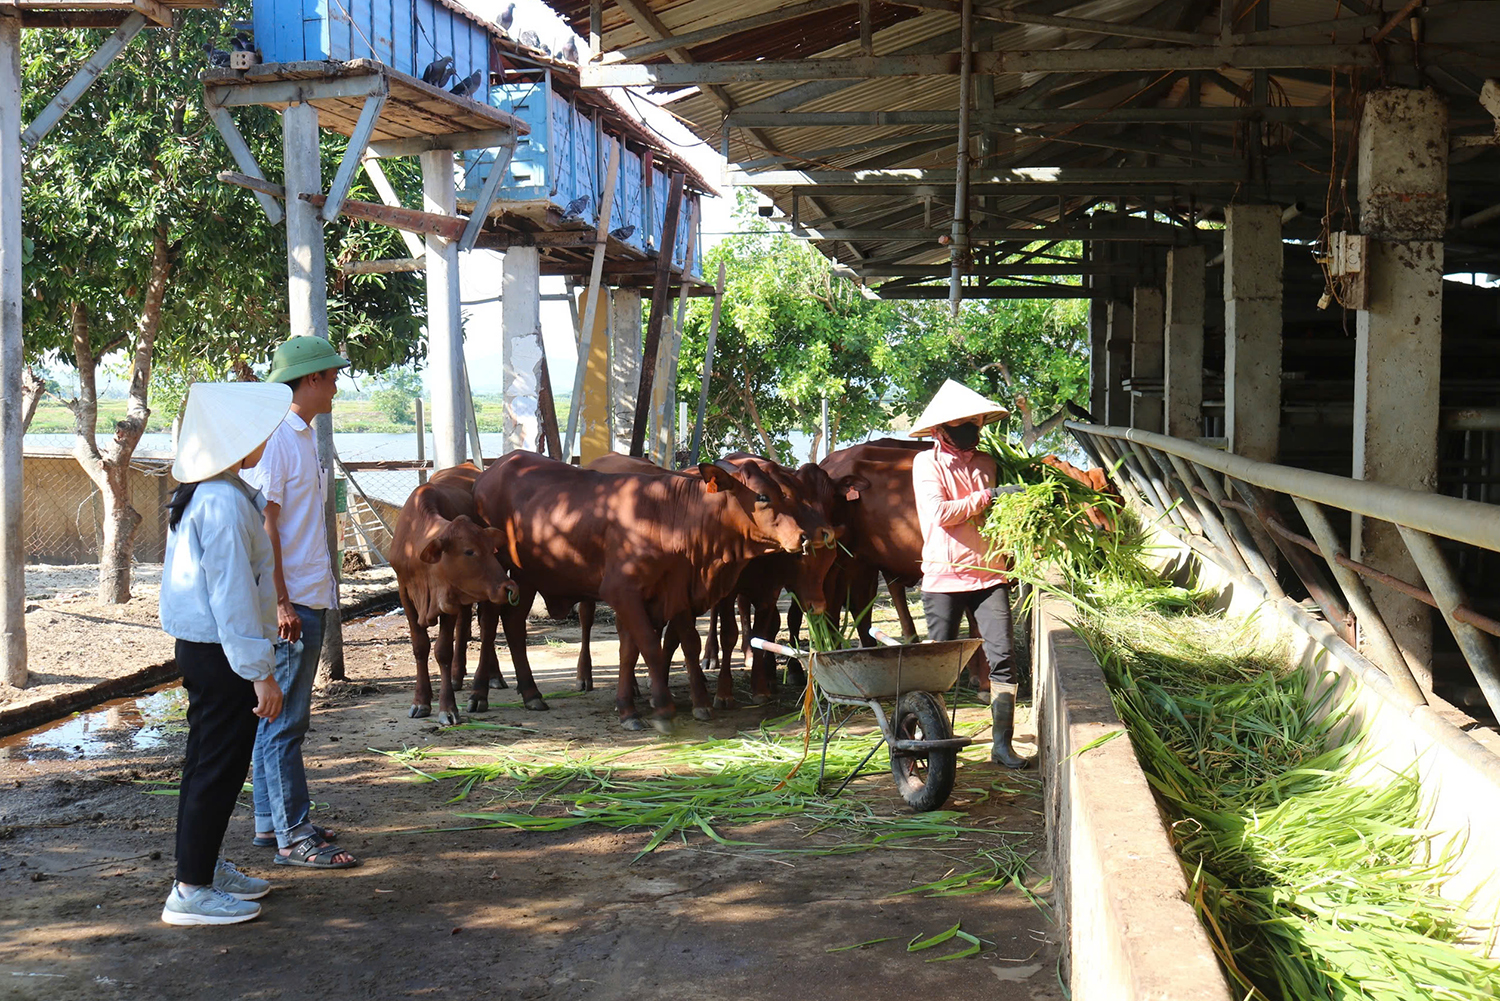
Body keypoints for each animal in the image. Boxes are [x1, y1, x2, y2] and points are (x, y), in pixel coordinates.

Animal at [387, 465, 522, 723]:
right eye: (469, 551)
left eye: (491, 549)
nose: (509, 587)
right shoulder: (405, 592)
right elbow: (420, 646)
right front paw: (421, 700)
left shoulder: (448, 598)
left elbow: (443, 651)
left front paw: (447, 708)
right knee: (465, 626)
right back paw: (457, 677)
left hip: (484, 594)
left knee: (486, 629)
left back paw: (491, 677)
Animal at [477, 450, 840, 732]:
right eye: (764, 496)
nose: (807, 536)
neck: (667, 516)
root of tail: (498, 465)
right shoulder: (623, 592)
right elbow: (649, 647)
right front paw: (662, 707)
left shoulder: (674, 592)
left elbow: (672, 646)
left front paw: (681, 704)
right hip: (498, 572)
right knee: (492, 620)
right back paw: (483, 692)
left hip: (525, 578)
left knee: (513, 625)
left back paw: (531, 694)